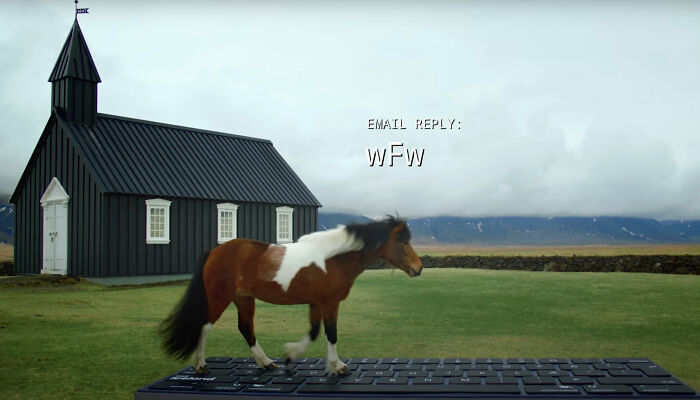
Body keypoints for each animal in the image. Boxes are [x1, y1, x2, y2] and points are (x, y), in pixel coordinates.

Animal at [159, 216, 422, 375]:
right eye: (403, 242)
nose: (418, 268)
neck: (332, 259)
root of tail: (214, 252)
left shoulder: (316, 303)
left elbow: (315, 332)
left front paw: (290, 354)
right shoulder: (329, 304)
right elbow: (331, 334)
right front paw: (337, 365)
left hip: (244, 299)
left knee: (246, 328)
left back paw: (265, 362)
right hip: (219, 298)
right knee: (204, 326)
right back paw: (201, 364)